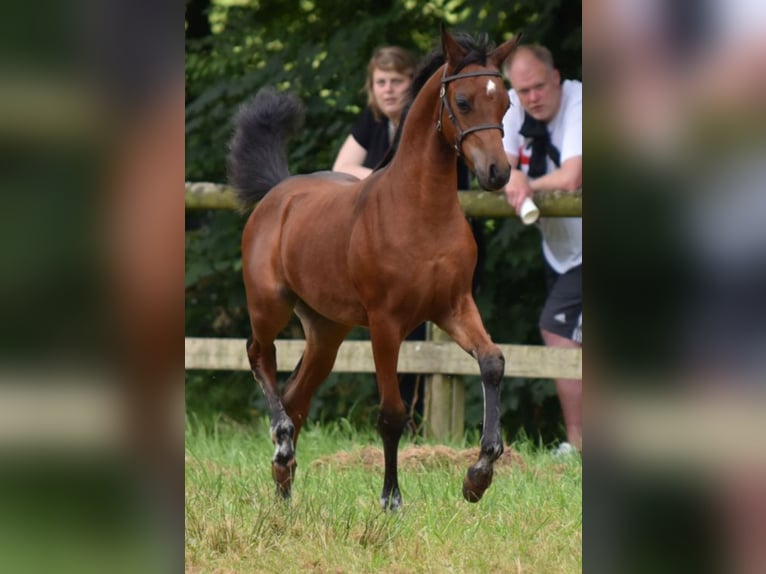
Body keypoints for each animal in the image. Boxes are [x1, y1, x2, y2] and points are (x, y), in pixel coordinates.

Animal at [225, 28, 520, 512]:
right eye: (462, 101)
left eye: (506, 103)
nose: (497, 173)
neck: (421, 212)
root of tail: (278, 192)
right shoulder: (387, 323)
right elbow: (392, 412)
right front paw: (391, 499)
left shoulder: (454, 307)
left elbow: (493, 362)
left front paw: (477, 477)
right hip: (269, 305)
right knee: (259, 356)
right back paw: (281, 445)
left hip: (327, 330)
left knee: (296, 396)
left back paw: (284, 486)